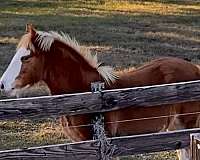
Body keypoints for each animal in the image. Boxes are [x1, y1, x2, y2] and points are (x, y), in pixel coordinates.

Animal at [0, 24, 200, 160]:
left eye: (26, 57)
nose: (2, 84)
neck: (84, 92)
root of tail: (195, 69)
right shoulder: (80, 145)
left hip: (186, 126)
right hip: (174, 129)